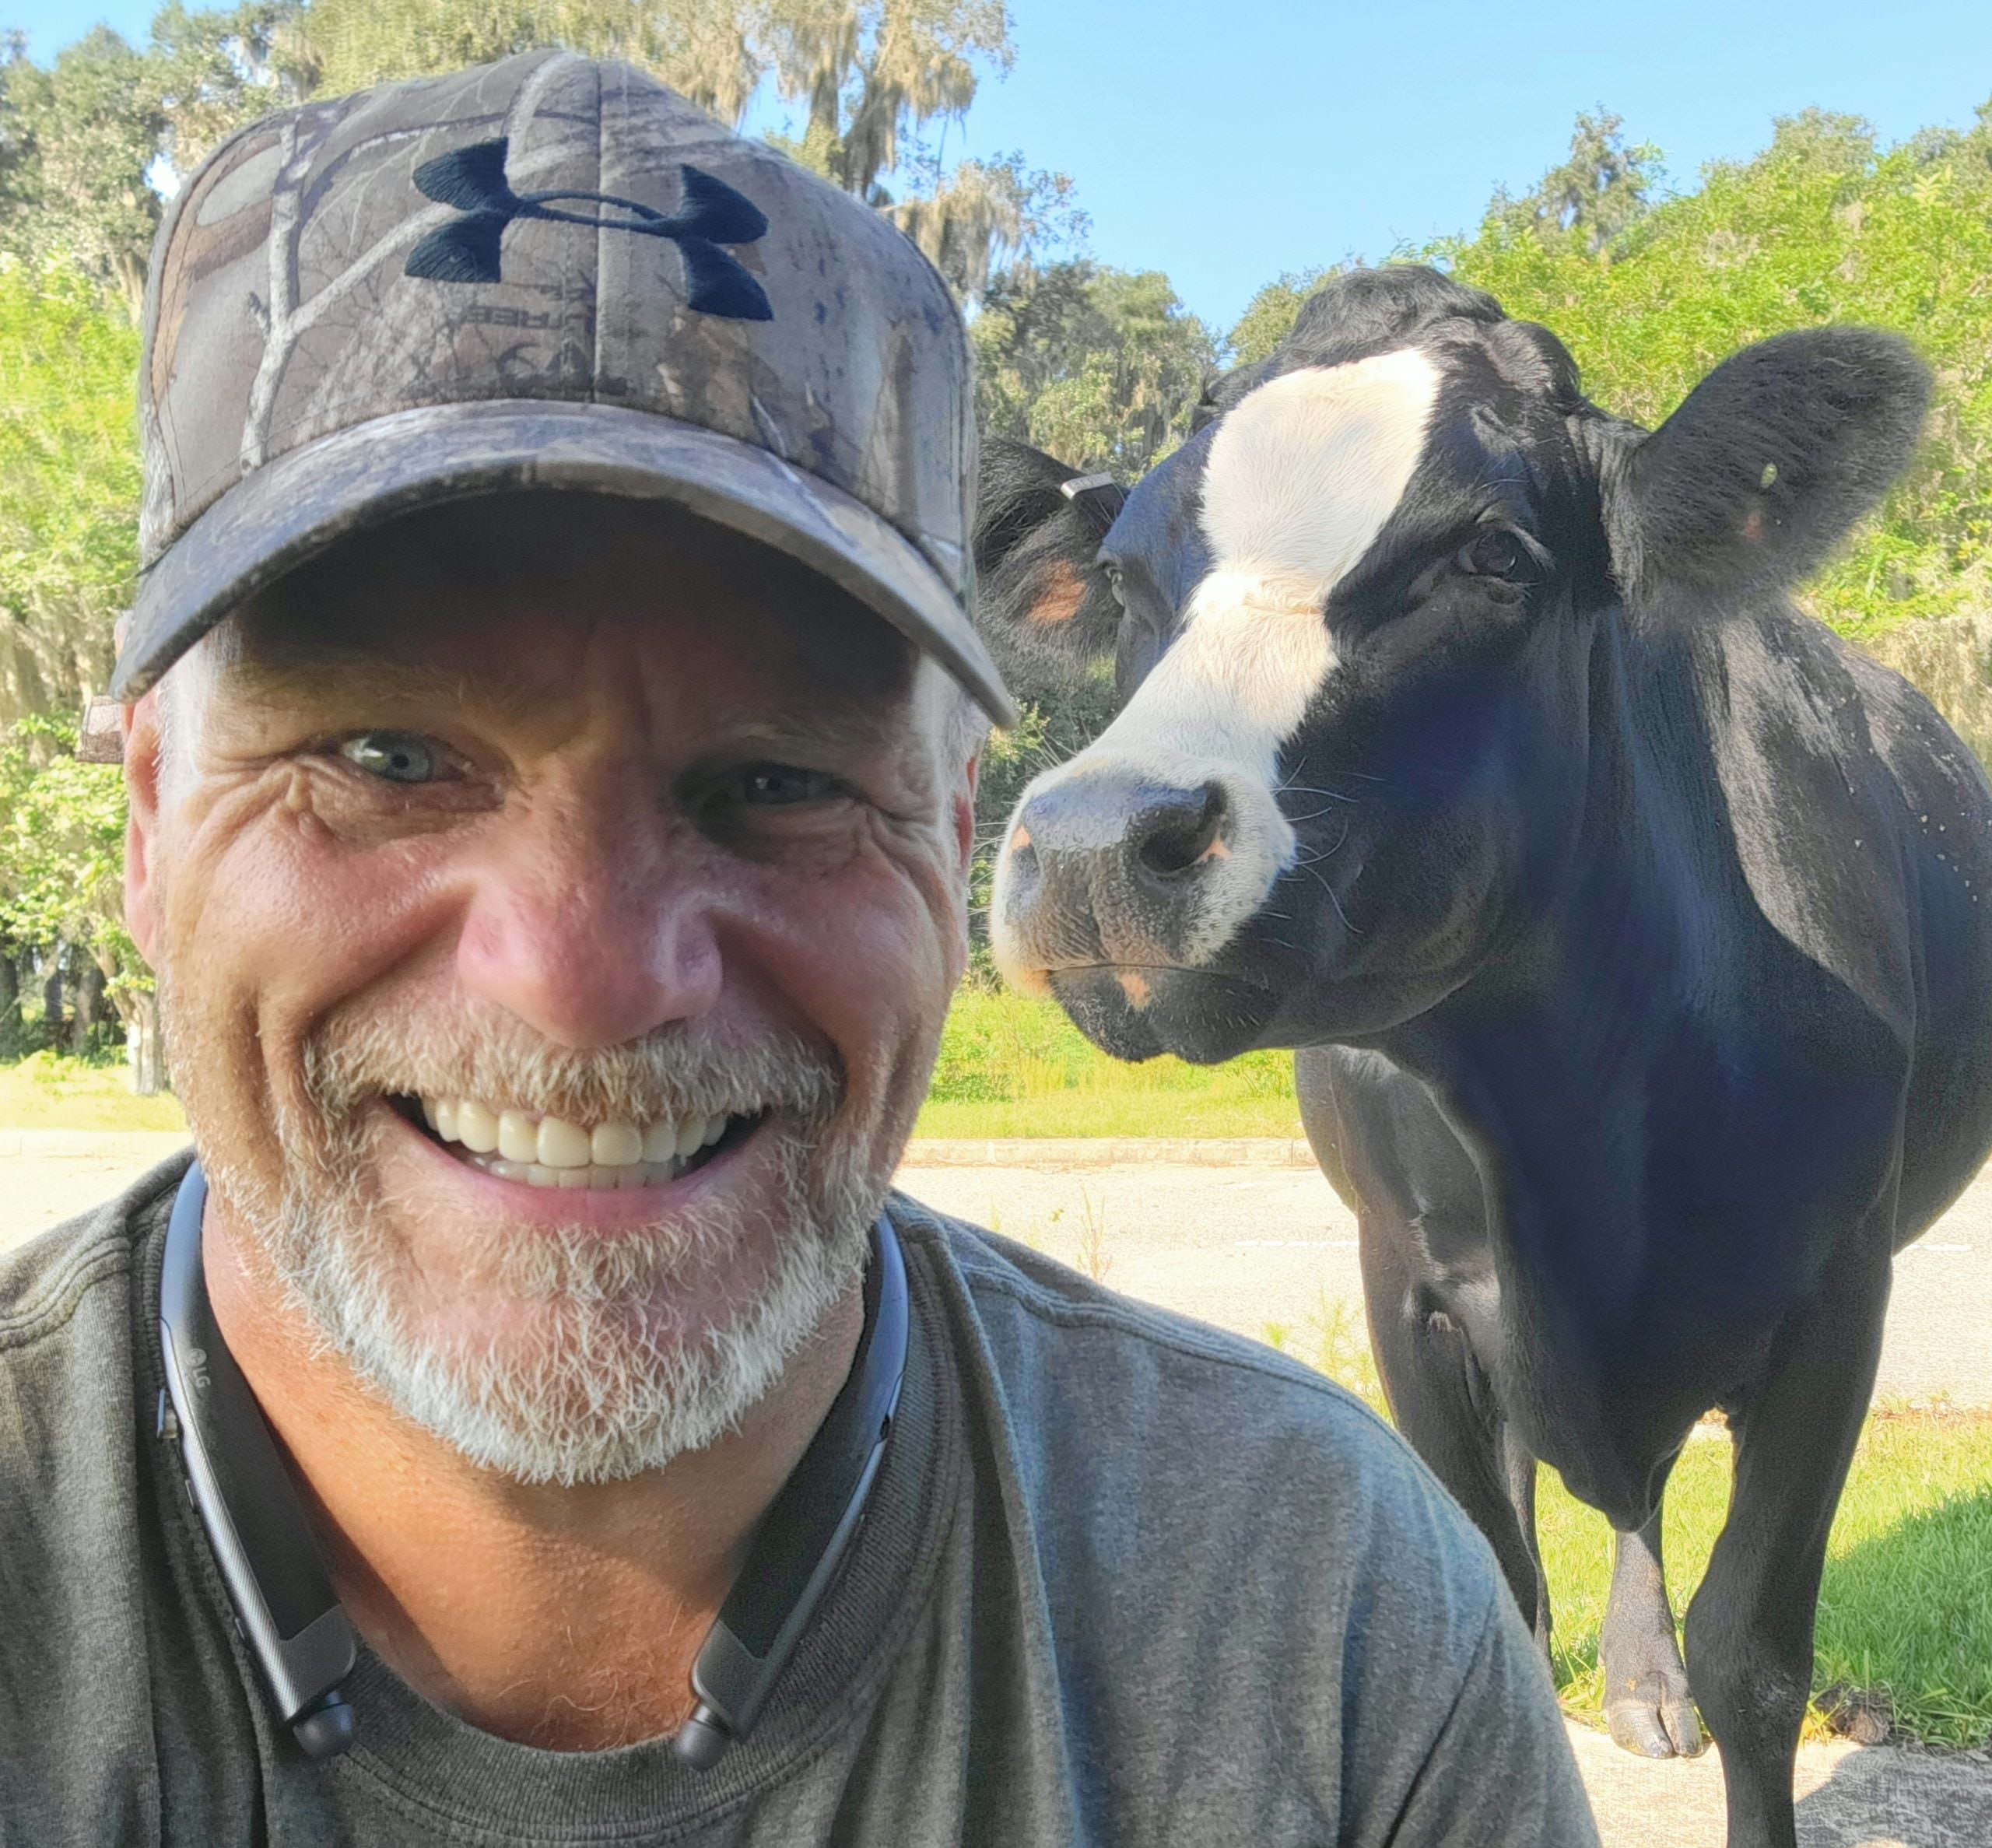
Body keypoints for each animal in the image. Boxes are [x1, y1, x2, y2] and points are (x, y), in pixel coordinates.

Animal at [976, 265, 1992, 1848]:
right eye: (1132, 580)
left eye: (1493, 555)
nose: (1090, 844)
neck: (1577, 1137)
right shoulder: (1417, 1286)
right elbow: (1493, 1609)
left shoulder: (1841, 1293)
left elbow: (1758, 1657)